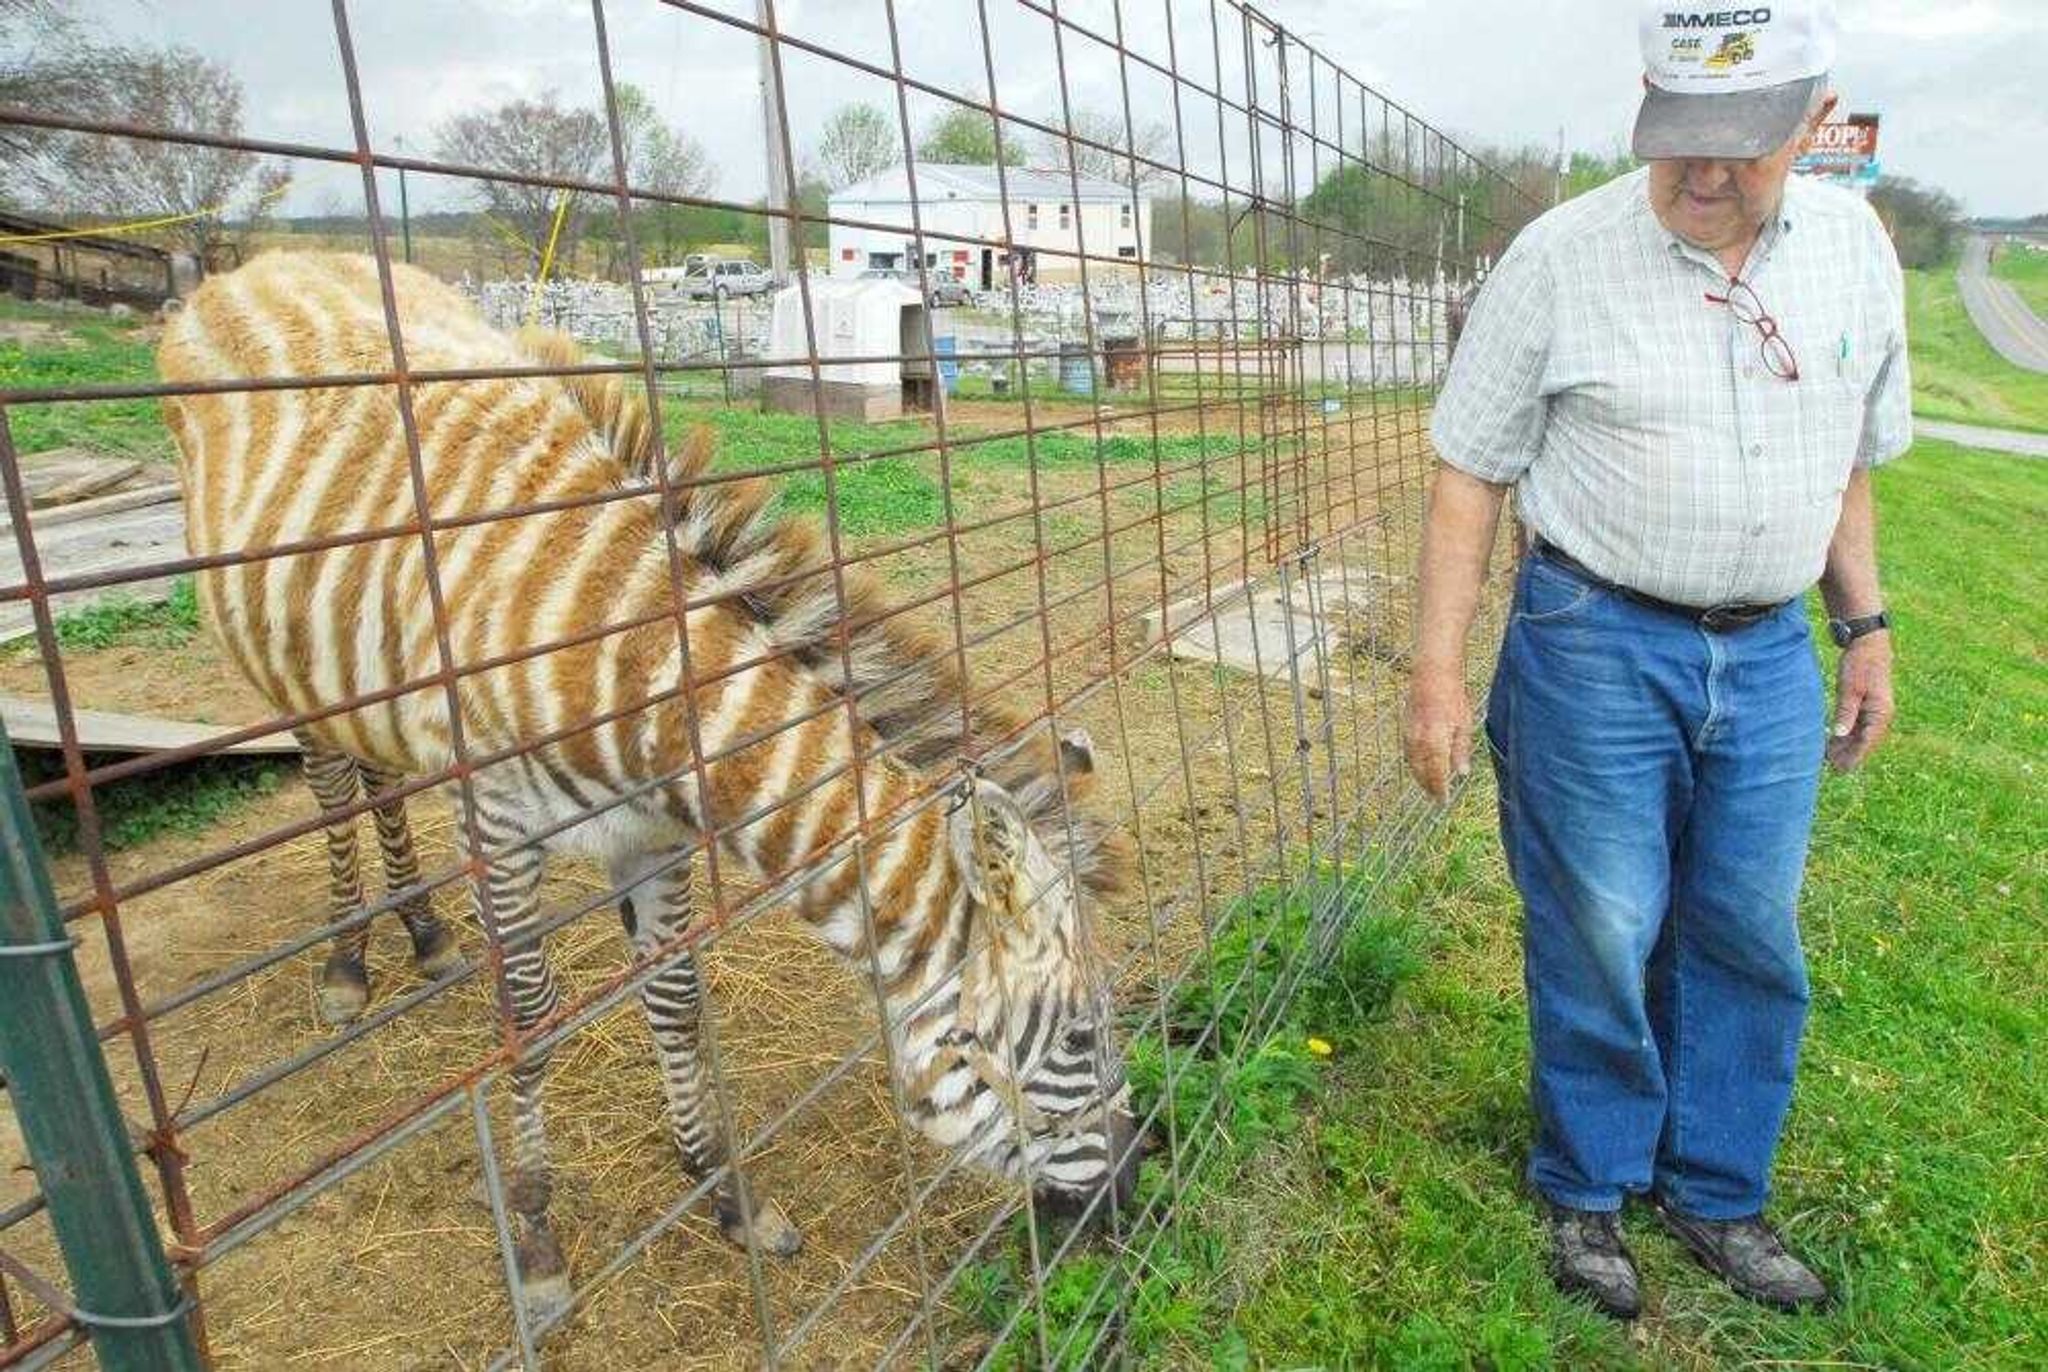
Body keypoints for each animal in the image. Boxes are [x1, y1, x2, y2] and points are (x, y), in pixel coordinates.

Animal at [159, 254, 1146, 1318]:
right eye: (1079, 1036)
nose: (1135, 1192)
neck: (637, 670)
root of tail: (263, 264)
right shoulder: (499, 827)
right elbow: (531, 1021)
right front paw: (538, 1244)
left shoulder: (654, 836)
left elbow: (674, 1002)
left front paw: (725, 1194)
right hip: (286, 669)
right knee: (337, 790)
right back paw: (347, 962)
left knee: (380, 780)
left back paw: (421, 935)